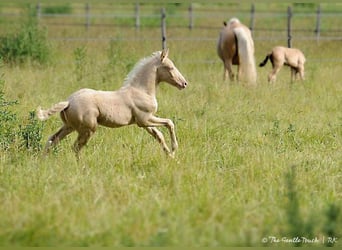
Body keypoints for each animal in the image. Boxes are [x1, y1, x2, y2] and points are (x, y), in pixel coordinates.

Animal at [37, 48, 187, 158]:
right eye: (171, 67)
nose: (184, 83)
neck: (141, 90)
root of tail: (68, 101)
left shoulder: (144, 123)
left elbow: (159, 136)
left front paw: (170, 156)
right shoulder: (144, 119)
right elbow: (169, 123)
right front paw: (174, 149)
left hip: (69, 126)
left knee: (52, 140)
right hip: (87, 130)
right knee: (75, 147)